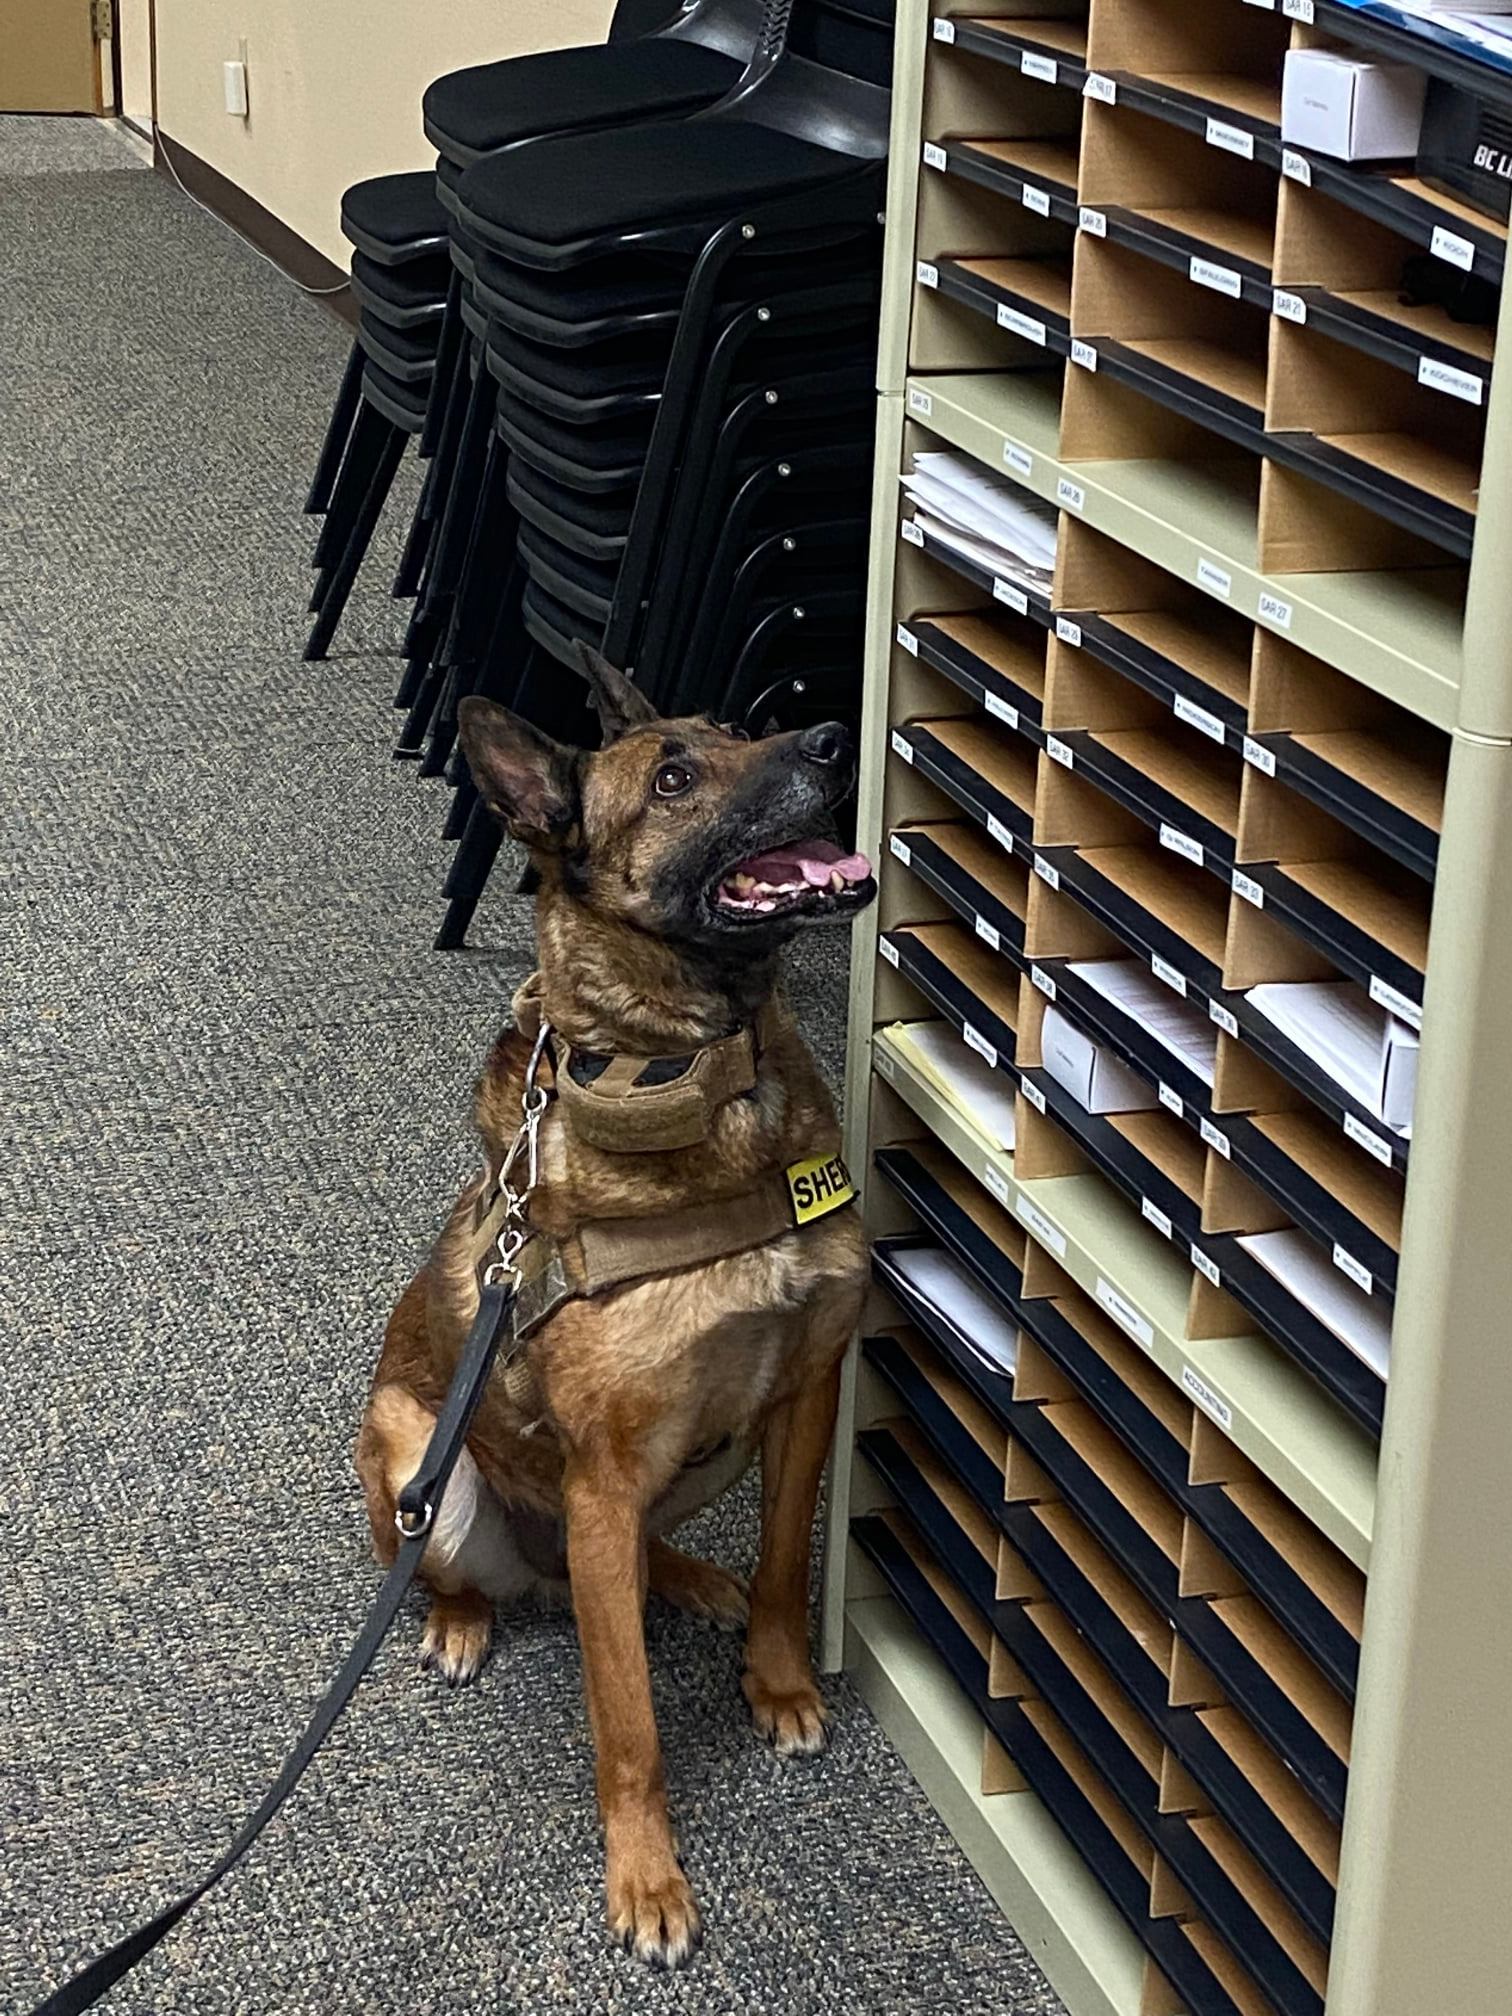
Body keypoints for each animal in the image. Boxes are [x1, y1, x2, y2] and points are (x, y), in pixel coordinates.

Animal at [355, 648, 875, 1968]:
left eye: (740, 727)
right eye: (675, 778)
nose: (835, 737)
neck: (701, 1080)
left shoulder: (803, 1394)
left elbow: (787, 1564)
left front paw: (781, 1684)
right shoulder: (601, 1475)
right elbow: (628, 1718)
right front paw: (647, 1877)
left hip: (699, 1463)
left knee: (643, 1562)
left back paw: (686, 1580)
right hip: (418, 1461)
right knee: (458, 1573)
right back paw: (459, 1623)